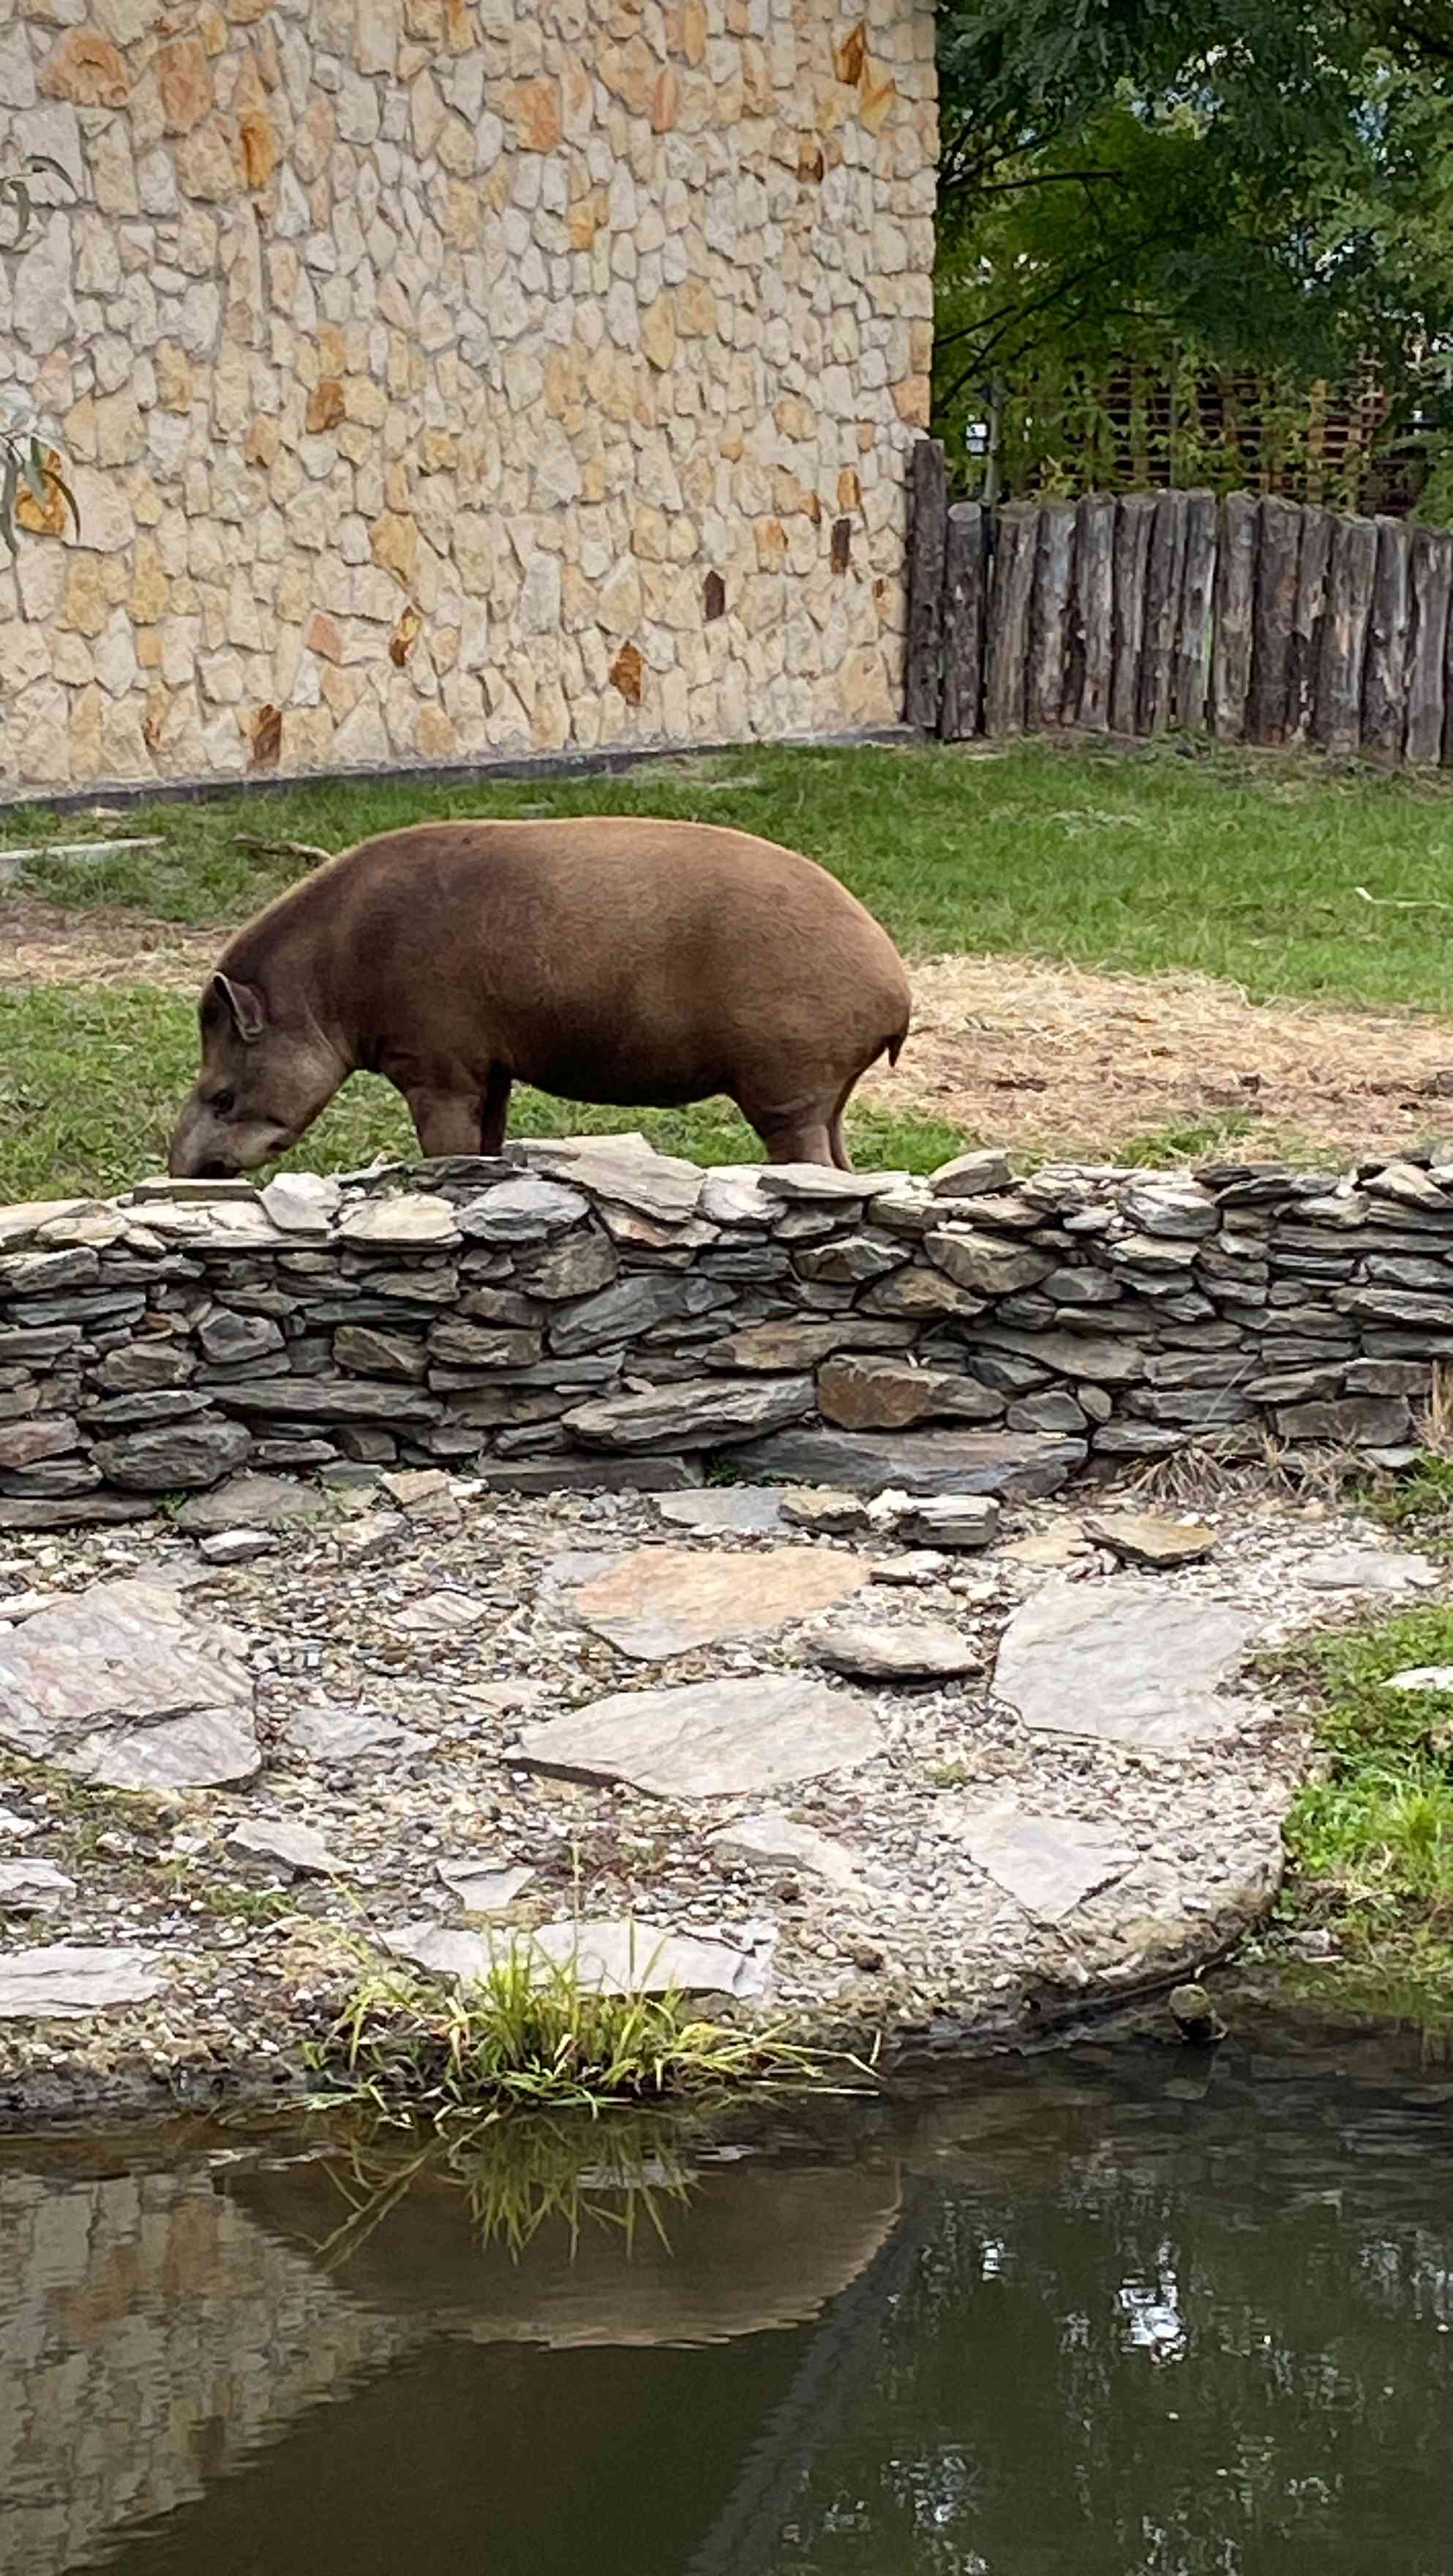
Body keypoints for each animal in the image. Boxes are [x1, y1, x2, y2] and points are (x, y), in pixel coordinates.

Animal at [166, 816, 912, 1178]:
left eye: (222, 1096)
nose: (183, 1170)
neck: (323, 986)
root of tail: (897, 993)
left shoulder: (437, 1066)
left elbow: (447, 1149)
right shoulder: (489, 1067)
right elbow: (488, 1143)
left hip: (787, 1079)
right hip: (825, 1092)